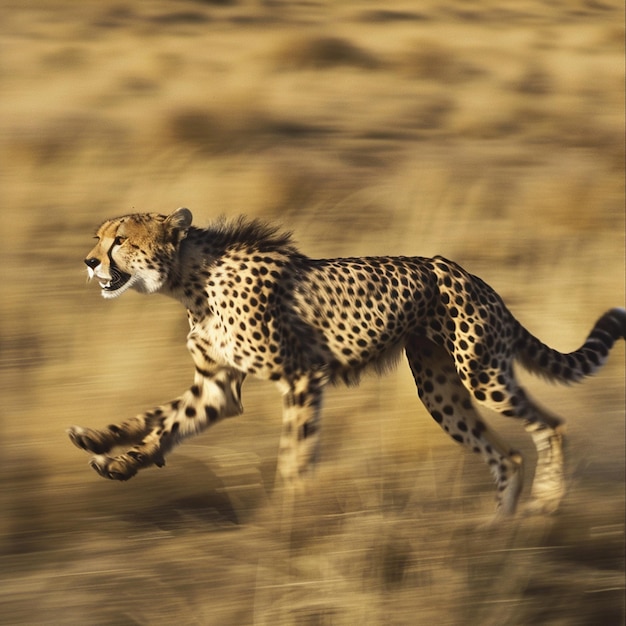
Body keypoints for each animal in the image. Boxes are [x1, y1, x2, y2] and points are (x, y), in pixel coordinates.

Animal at [68, 207, 624, 516]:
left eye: (121, 239)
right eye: (99, 236)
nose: (90, 261)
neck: (190, 279)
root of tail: (469, 274)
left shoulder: (300, 377)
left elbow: (294, 457)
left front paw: (287, 520)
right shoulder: (217, 387)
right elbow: (161, 420)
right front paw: (110, 450)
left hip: (482, 373)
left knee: (551, 425)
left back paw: (546, 506)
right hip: (440, 390)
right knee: (506, 456)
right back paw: (497, 533)